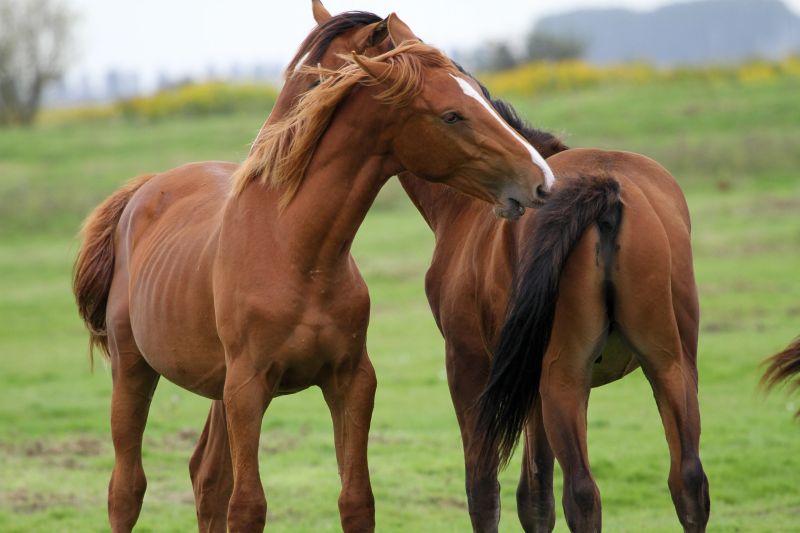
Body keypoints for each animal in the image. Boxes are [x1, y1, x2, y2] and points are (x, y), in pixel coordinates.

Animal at [71, 6, 556, 532]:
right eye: (452, 114)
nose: (541, 181)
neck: (297, 251)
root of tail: (143, 190)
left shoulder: (351, 382)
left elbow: (356, 500)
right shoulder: (248, 390)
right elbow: (248, 507)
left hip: (216, 390)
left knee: (207, 478)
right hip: (134, 370)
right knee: (127, 488)